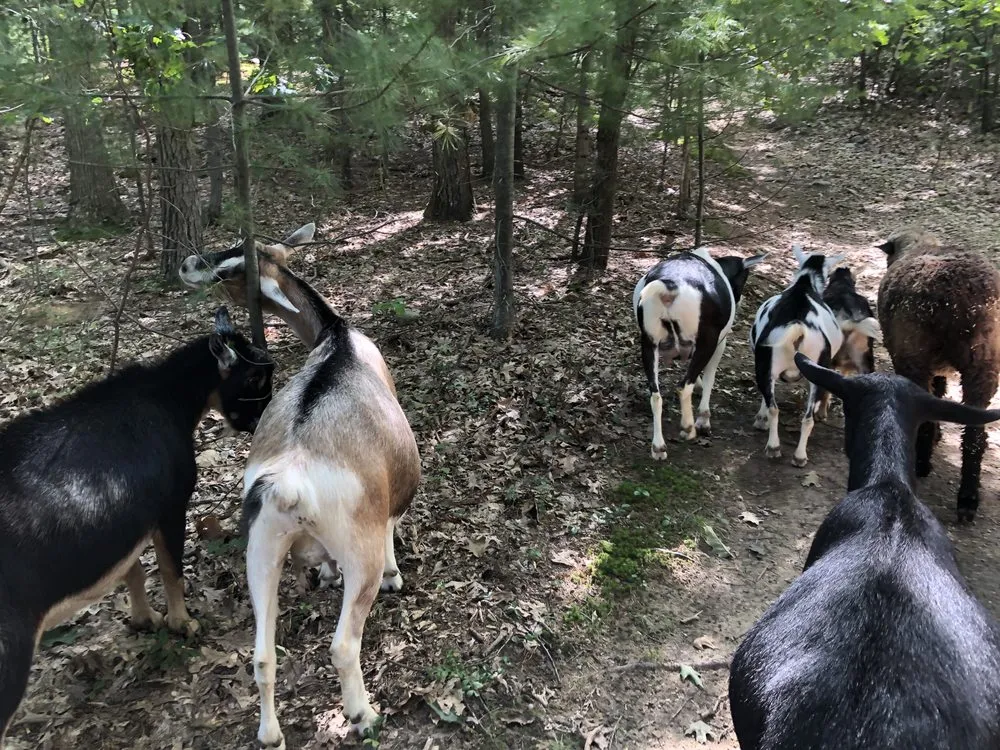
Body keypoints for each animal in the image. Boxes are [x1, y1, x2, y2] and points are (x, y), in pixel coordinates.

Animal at [0, 308, 273, 748]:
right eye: (255, 380)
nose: (265, 420)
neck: (166, 398)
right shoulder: (170, 503)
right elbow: (170, 568)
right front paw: (184, 623)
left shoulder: (130, 517)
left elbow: (133, 569)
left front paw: (144, 619)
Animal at [180, 226, 420, 745]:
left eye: (233, 262)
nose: (188, 264)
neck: (335, 335)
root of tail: (289, 485)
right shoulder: (386, 501)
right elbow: (392, 525)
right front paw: (395, 576)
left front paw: (325, 574)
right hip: (357, 549)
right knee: (343, 644)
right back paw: (363, 715)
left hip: (260, 549)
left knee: (262, 656)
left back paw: (271, 735)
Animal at [633, 248, 766, 458]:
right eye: (744, 277)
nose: (740, 300)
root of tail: (670, 285)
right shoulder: (718, 342)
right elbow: (710, 377)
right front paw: (703, 420)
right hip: (706, 342)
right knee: (682, 387)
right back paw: (688, 427)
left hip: (648, 343)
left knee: (655, 395)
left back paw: (658, 447)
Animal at [750, 245, 844, 466]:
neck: (804, 284)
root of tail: (798, 325)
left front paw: (761, 420)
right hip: (815, 370)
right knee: (804, 417)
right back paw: (798, 455)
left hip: (767, 362)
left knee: (775, 408)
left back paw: (776, 448)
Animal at [877, 227, 1000, 522]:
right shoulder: (938, 368)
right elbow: (941, 392)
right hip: (983, 365)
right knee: (975, 435)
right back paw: (968, 498)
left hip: (915, 358)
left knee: (924, 419)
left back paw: (921, 465)